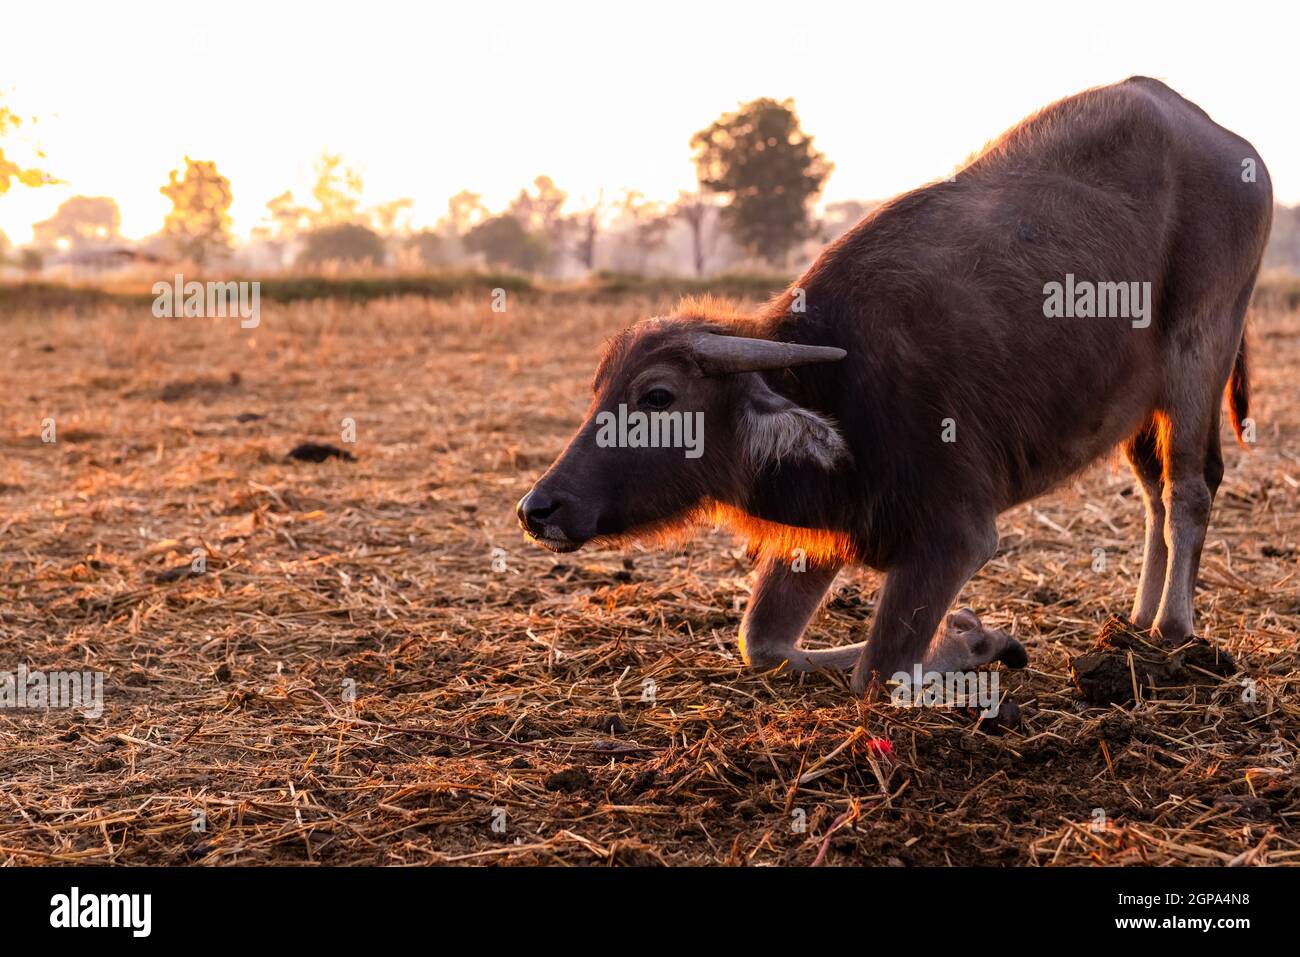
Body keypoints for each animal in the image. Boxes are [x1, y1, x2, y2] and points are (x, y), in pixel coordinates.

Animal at [514, 78, 1268, 696]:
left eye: (658, 396)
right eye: (598, 390)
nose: (538, 508)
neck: (839, 391)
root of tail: (1233, 147)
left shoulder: (956, 536)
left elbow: (880, 671)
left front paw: (977, 640)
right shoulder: (826, 528)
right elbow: (762, 644)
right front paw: (971, 631)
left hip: (1201, 353)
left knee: (1188, 487)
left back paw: (1172, 627)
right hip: (1139, 404)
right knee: (1152, 489)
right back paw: (1137, 616)